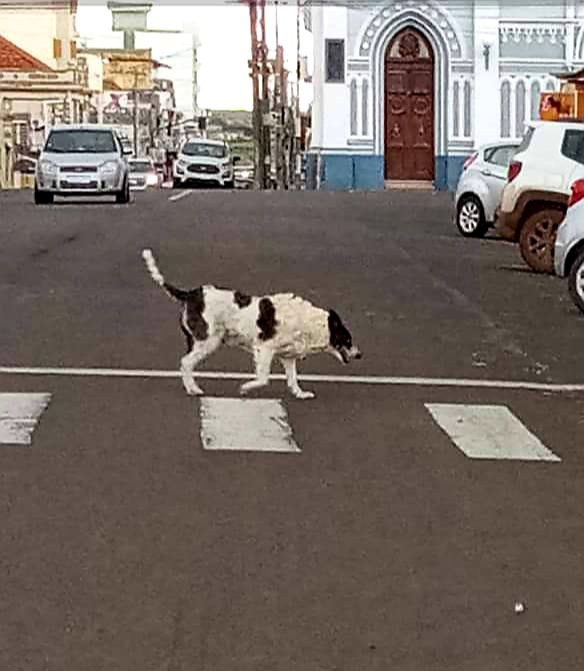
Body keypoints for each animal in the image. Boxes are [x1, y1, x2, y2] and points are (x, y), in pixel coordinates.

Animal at [141, 251, 360, 400]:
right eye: (348, 340)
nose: (359, 355)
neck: (307, 323)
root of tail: (189, 295)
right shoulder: (264, 349)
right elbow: (263, 378)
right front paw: (245, 388)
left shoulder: (287, 357)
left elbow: (293, 379)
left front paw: (300, 393)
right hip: (209, 341)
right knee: (185, 362)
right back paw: (193, 389)